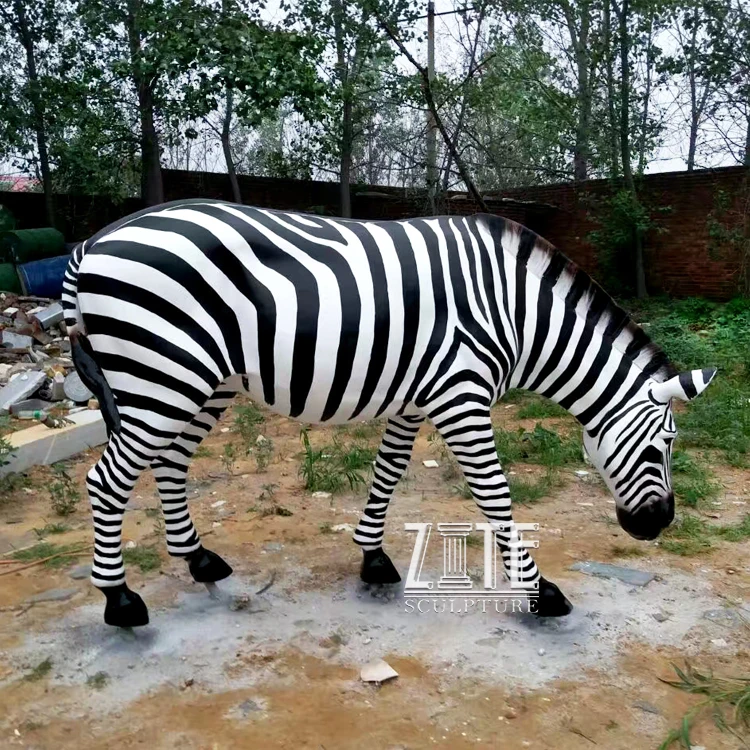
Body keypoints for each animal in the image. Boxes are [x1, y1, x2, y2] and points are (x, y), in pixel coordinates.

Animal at [62, 198, 716, 627]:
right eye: (663, 446)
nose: (658, 525)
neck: (519, 313)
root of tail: (92, 241)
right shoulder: (462, 396)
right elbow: (496, 497)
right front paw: (540, 591)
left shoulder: (420, 397)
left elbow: (389, 471)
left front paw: (372, 559)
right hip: (163, 375)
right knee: (105, 482)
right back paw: (120, 602)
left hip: (199, 381)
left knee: (170, 464)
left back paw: (198, 561)